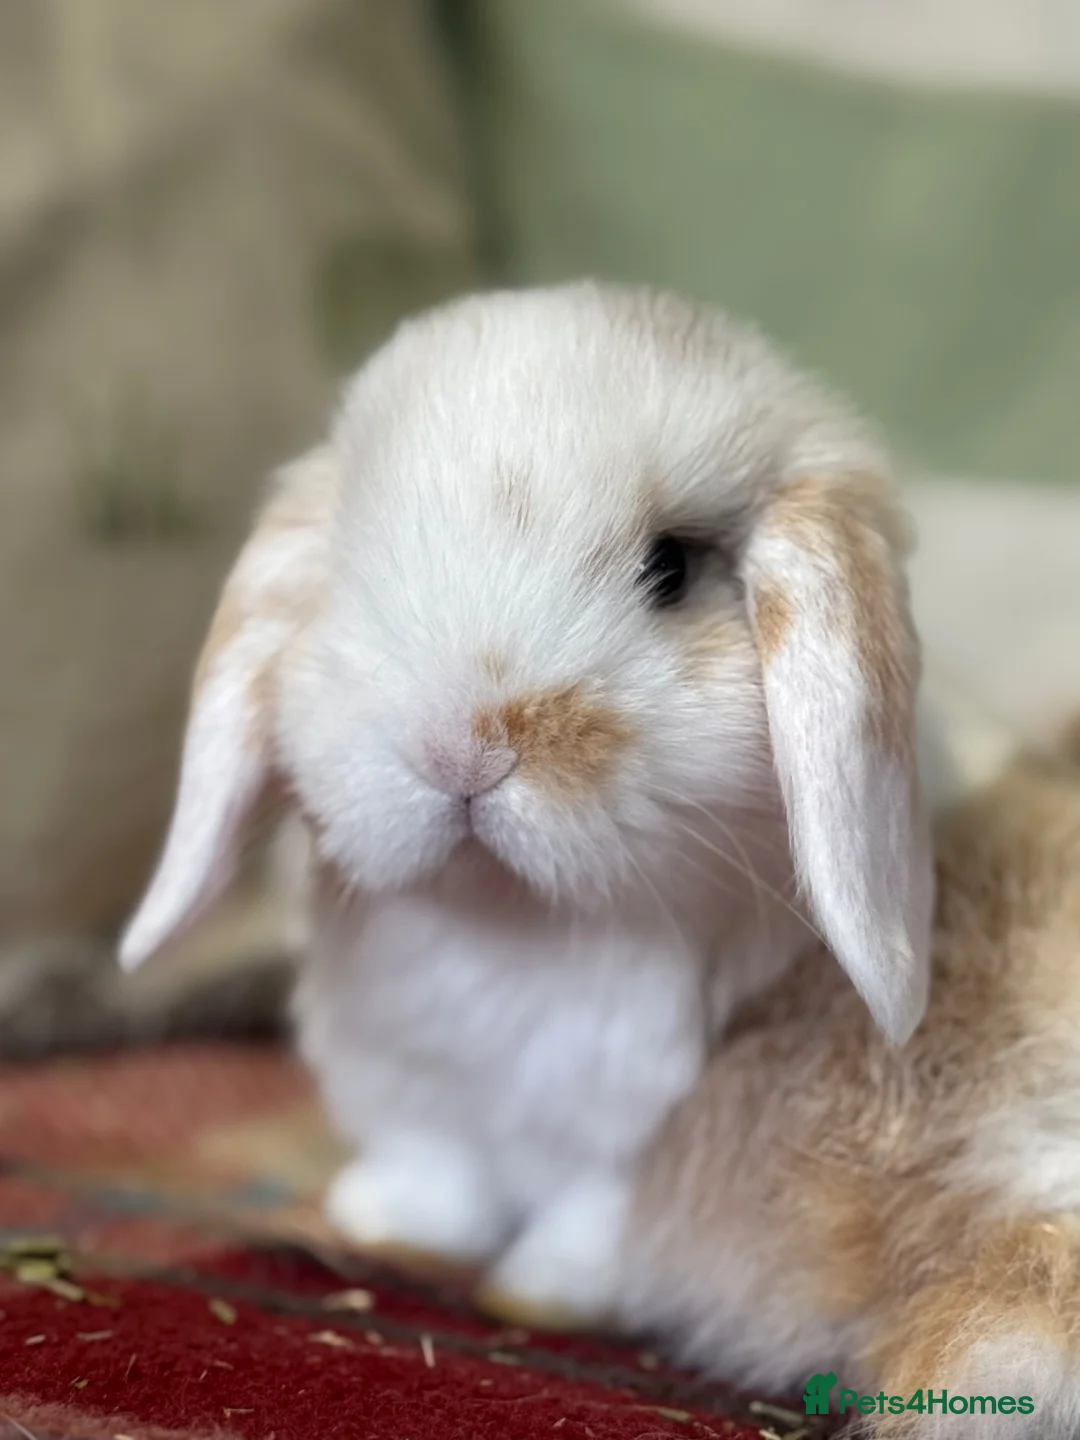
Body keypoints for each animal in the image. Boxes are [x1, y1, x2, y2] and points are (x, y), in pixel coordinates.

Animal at [118, 281, 933, 1330]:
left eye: (670, 569)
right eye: (353, 562)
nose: (458, 748)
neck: (512, 923)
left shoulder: (637, 1132)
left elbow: (594, 1216)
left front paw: (548, 1294)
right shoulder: (407, 1076)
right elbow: (434, 1165)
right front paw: (390, 1227)